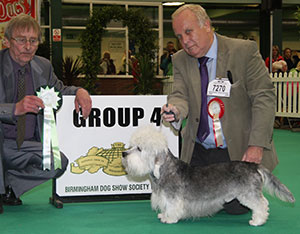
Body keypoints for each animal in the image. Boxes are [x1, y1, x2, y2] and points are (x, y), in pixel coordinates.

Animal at [122, 125, 296, 226]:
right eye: (133, 146)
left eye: (139, 148)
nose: (123, 154)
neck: (166, 170)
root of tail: (252, 165)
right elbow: (166, 207)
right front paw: (163, 215)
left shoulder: (174, 199)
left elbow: (172, 208)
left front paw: (169, 218)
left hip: (248, 194)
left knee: (261, 204)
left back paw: (258, 221)